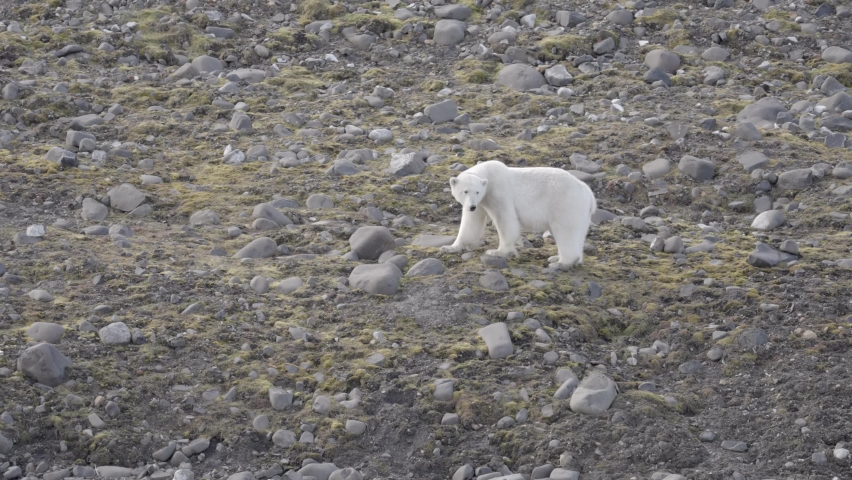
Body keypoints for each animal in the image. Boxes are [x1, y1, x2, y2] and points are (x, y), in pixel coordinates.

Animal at [441, 160, 597, 269]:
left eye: (477, 191)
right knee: (577, 234)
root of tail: (589, 194)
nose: (471, 206)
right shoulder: (481, 203)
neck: (487, 176)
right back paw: (559, 258)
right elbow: (471, 224)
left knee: (565, 231)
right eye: (465, 191)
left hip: (565, 203)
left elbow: (505, 221)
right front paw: (449, 247)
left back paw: (560, 263)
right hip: (580, 211)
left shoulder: (497, 193)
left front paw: (497, 252)